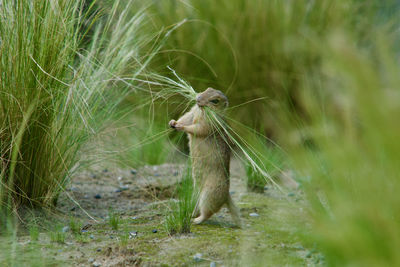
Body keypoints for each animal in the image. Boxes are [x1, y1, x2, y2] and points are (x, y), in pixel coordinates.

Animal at [169, 89, 241, 227]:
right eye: (207, 89)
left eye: (215, 101)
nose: (197, 98)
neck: (201, 110)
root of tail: (226, 196)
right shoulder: (192, 112)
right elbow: (185, 118)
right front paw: (173, 122)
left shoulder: (208, 123)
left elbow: (196, 128)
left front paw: (181, 127)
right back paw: (192, 214)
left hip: (208, 196)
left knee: (207, 213)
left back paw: (195, 220)